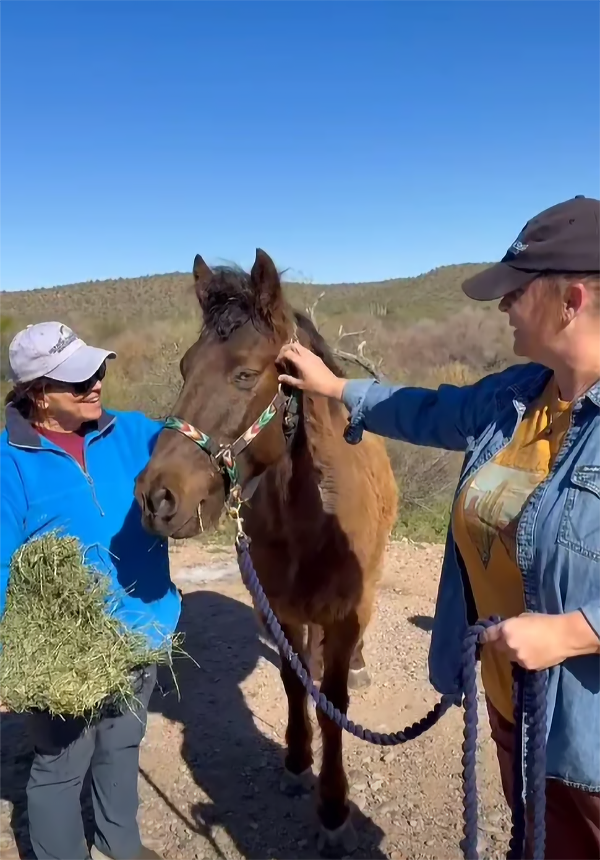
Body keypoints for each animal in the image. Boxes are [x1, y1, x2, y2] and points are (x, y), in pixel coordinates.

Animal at [134, 249, 398, 855]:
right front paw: (297, 763)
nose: (157, 498)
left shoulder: (345, 613)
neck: (311, 520)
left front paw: (333, 810)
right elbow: (293, 682)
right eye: (184, 367)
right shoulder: (275, 608)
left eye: (245, 374)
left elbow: (335, 704)